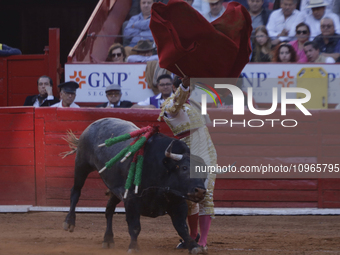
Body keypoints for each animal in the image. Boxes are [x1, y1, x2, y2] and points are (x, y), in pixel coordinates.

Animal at [63, 118, 207, 253]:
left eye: (204, 173)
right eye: (184, 168)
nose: (200, 191)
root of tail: (95, 123)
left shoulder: (178, 202)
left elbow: (182, 227)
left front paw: (194, 246)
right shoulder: (132, 200)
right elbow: (135, 226)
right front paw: (133, 247)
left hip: (116, 189)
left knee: (109, 208)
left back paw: (108, 239)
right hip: (81, 164)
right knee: (75, 191)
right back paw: (69, 222)